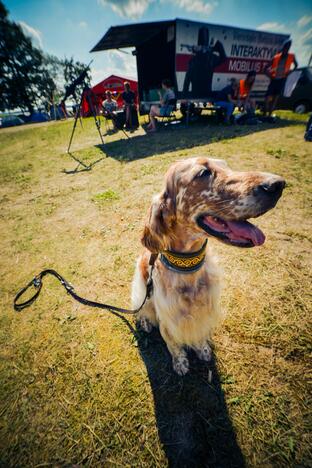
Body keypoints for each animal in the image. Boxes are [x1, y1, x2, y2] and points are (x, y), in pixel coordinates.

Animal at [132, 159, 286, 374]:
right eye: (203, 173)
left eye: (226, 166)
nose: (278, 184)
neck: (188, 269)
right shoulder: (168, 320)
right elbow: (174, 345)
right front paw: (180, 363)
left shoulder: (204, 313)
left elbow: (200, 336)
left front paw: (202, 349)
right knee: (141, 309)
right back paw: (145, 321)